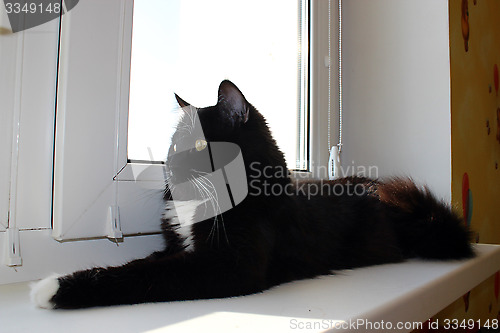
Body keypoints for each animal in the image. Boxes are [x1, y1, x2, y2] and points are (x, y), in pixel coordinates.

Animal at [30, 80, 472, 308]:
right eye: (173, 145)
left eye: (196, 145)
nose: (169, 166)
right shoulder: (176, 247)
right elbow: (143, 263)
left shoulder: (229, 264)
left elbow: (145, 276)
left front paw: (52, 288)